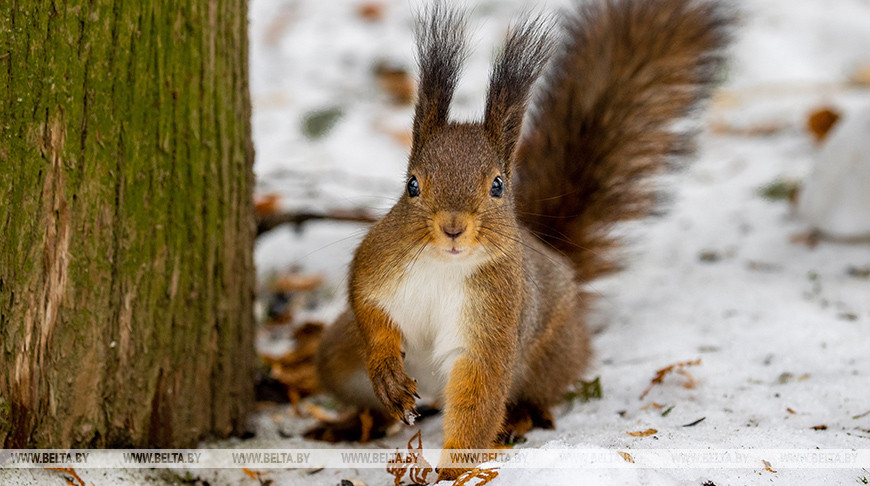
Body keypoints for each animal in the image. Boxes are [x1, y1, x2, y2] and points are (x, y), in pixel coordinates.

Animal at [304, 0, 728, 480]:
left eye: (498, 186)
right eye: (412, 185)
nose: (453, 227)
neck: (444, 264)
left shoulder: (496, 316)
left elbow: (480, 391)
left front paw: (453, 472)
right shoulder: (379, 261)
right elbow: (367, 305)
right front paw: (386, 372)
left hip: (549, 355)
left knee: (537, 393)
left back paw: (521, 417)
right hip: (336, 354)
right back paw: (354, 421)